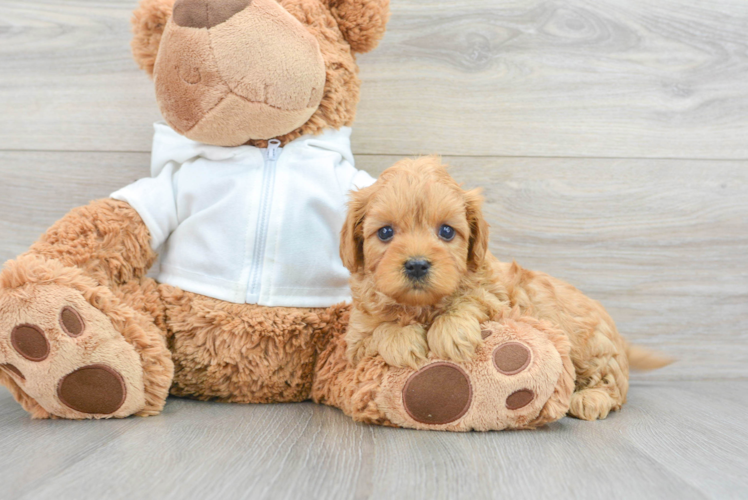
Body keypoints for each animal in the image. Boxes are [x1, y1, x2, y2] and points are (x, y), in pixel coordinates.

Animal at [340, 156, 672, 422]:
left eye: (446, 231)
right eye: (385, 232)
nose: (417, 265)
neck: (421, 306)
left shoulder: (497, 300)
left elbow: (470, 301)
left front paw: (451, 332)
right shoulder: (356, 340)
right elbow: (379, 329)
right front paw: (402, 338)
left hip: (594, 348)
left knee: (612, 386)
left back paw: (590, 399)